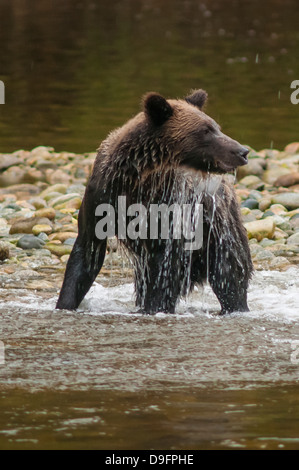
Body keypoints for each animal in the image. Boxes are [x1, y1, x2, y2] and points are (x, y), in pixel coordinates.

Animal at [56, 89, 253, 314]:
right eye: (206, 130)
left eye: (215, 127)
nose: (242, 151)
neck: (138, 181)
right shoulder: (101, 198)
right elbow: (85, 256)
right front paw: (65, 304)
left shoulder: (170, 211)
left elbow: (164, 271)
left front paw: (155, 308)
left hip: (219, 229)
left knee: (229, 274)